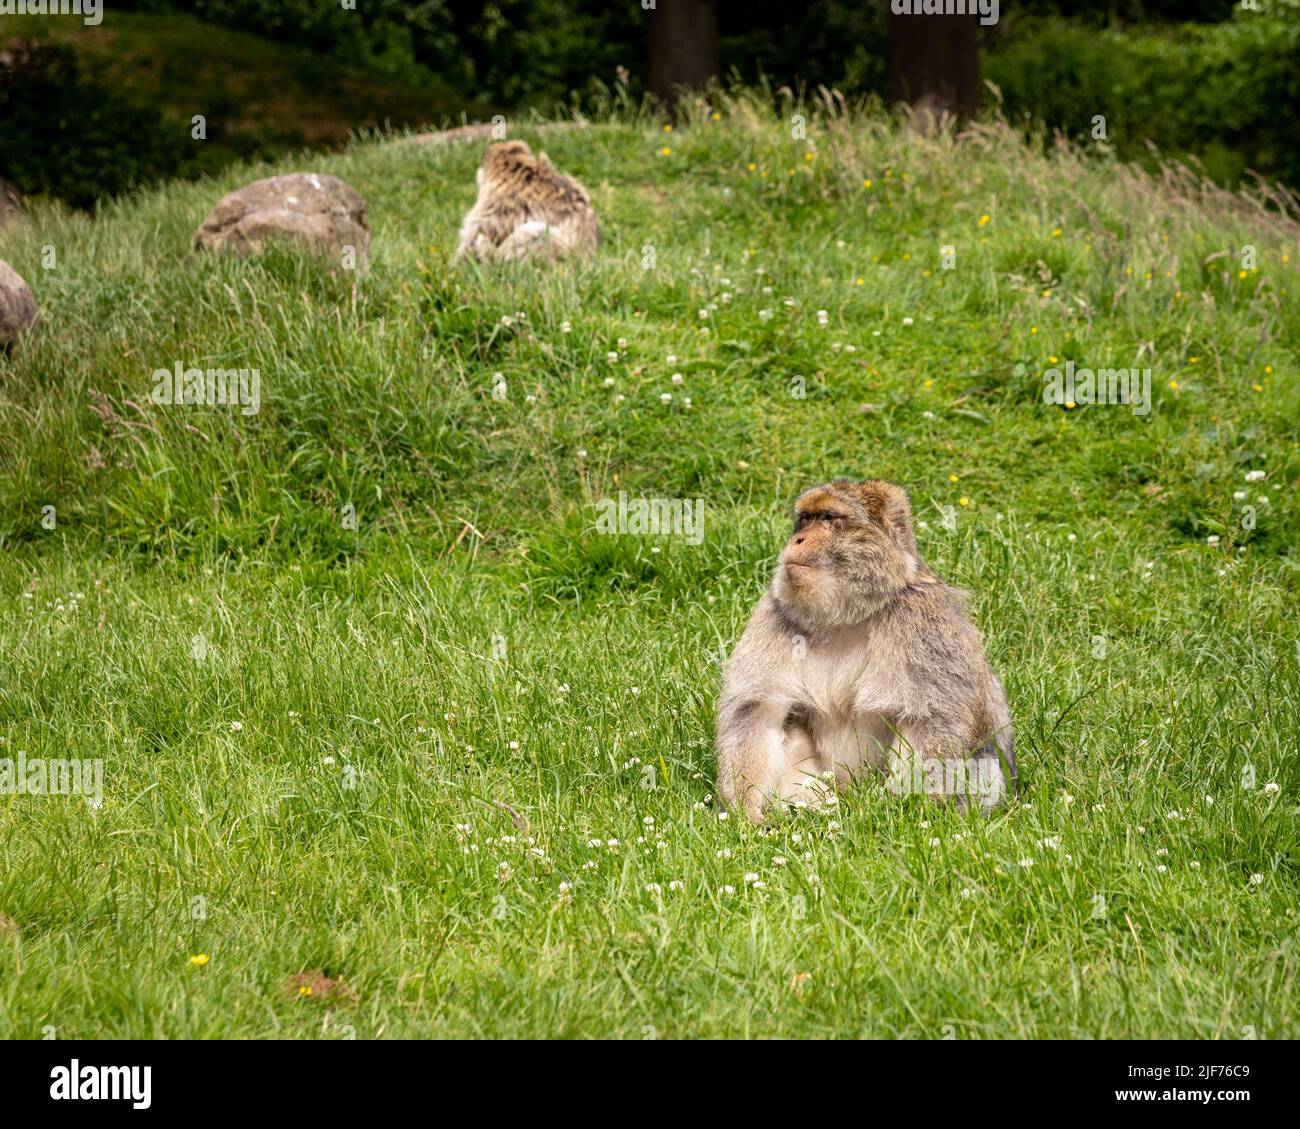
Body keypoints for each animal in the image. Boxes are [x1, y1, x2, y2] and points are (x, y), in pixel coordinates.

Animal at [717, 476, 1008, 822]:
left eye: (829, 518)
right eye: (805, 519)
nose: (798, 539)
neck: (845, 616)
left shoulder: (924, 620)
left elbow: (930, 717)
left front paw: (901, 812)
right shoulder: (774, 614)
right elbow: (760, 712)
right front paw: (745, 810)